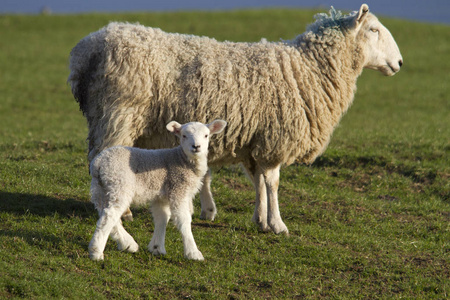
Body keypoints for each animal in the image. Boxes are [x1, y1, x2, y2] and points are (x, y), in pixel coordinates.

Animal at [68, 4, 402, 234]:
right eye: (373, 30)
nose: (399, 63)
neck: (308, 68)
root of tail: (86, 50)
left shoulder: (255, 139)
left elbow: (258, 181)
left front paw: (260, 219)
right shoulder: (274, 137)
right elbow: (273, 182)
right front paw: (278, 224)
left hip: (108, 116)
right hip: (117, 115)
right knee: (102, 158)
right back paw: (118, 213)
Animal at [89, 119, 229, 260]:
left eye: (206, 135)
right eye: (184, 135)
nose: (196, 146)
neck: (182, 160)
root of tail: (98, 162)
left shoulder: (161, 196)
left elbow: (162, 218)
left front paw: (157, 248)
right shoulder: (178, 189)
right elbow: (184, 219)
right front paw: (193, 253)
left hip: (100, 189)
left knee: (105, 213)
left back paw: (127, 244)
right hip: (120, 184)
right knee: (109, 216)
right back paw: (97, 252)